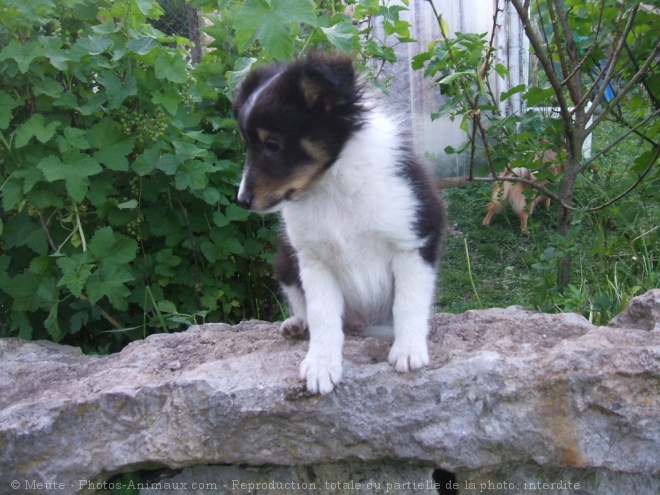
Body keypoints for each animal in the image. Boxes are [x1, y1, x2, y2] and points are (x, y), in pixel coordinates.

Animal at [232, 54, 444, 396]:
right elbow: (323, 315)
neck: (331, 184)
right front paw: (321, 365)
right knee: (306, 309)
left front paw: (409, 351)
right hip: (285, 261)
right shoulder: (312, 259)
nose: (242, 200)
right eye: (247, 145)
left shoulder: (414, 240)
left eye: (273, 145)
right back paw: (296, 325)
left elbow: (409, 302)